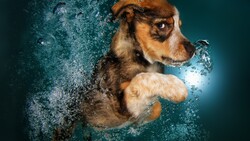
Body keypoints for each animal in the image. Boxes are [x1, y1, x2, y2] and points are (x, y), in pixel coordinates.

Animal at [53, 0, 196, 140]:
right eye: (162, 25)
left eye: (180, 26)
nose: (193, 49)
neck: (141, 59)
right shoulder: (121, 107)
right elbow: (142, 77)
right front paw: (175, 87)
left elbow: (157, 108)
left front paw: (141, 119)